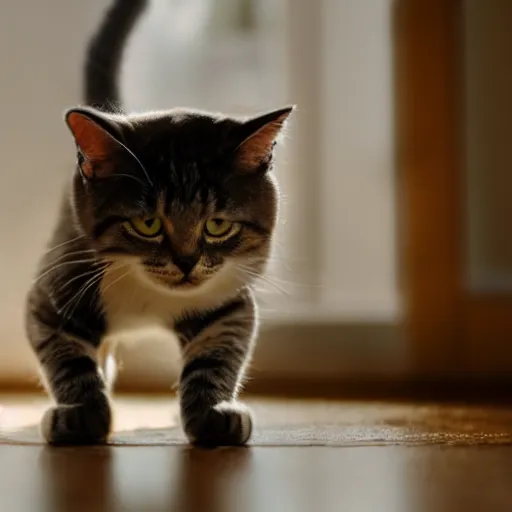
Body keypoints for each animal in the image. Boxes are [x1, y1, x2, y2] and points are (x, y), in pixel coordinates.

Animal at [26, 0, 294, 446]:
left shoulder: (229, 301)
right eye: (147, 223)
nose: (186, 263)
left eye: (217, 225)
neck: (147, 297)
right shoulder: (54, 289)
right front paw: (82, 415)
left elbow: (217, 356)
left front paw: (214, 414)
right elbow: (68, 358)